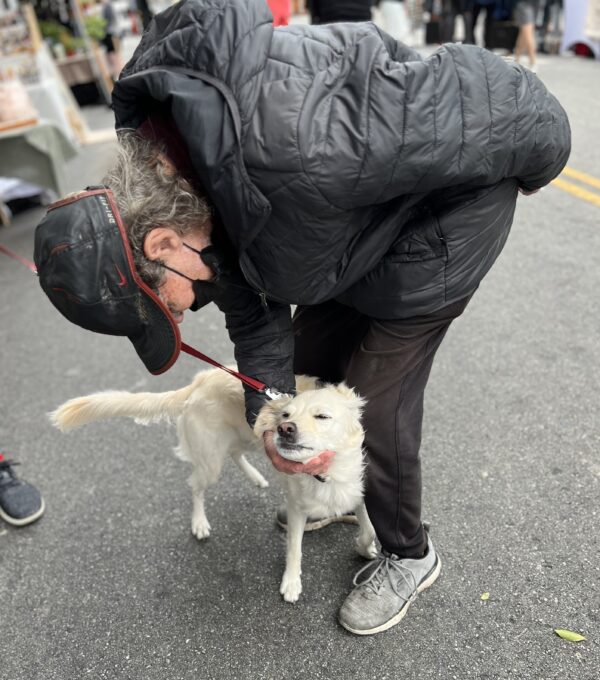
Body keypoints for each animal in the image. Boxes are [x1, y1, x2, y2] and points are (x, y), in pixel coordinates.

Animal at [50, 372, 376, 600]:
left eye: (322, 416)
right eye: (286, 415)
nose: (284, 429)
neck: (328, 473)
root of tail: (201, 379)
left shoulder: (359, 492)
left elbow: (370, 528)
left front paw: (365, 548)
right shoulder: (297, 510)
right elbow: (295, 549)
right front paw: (292, 583)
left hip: (246, 435)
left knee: (236, 453)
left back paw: (256, 477)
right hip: (211, 460)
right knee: (195, 486)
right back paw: (199, 523)